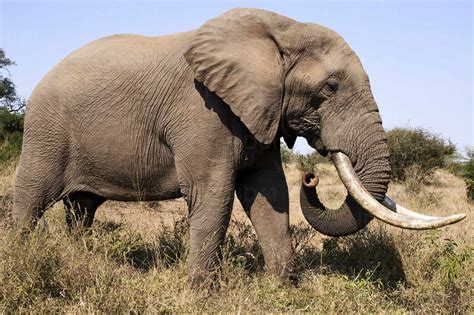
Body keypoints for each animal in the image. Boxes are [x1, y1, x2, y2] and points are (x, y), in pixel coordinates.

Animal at [12, 7, 464, 286]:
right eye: (330, 88)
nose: (312, 177)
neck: (280, 30)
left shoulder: (260, 110)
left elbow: (269, 193)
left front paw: (285, 288)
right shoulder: (203, 110)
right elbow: (213, 194)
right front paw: (201, 292)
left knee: (81, 208)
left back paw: (80, 258)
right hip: (46, 130)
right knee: (32, 198)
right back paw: (22, 257)